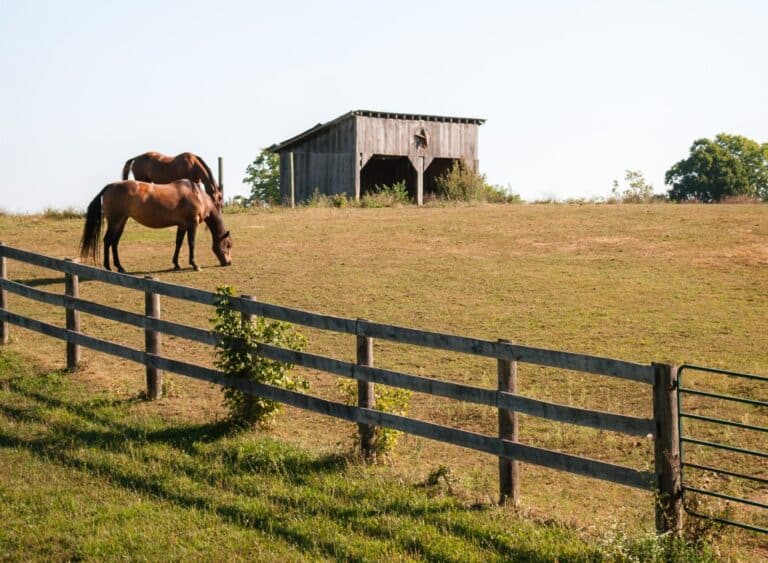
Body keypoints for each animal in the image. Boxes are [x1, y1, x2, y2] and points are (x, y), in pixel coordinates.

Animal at [80, 180, 234, 274]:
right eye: (228, 245)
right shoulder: (192, 224)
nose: (228, 262)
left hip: (121, 222)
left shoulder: (182, 226)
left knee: (114, 242)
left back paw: (120, 267)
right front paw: (195, 265)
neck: (198, 195)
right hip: (115, 222)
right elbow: (191, 243)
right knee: (107, 241)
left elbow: (178, 243)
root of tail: (110, 186)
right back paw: (108, 267)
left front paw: (176, 264)